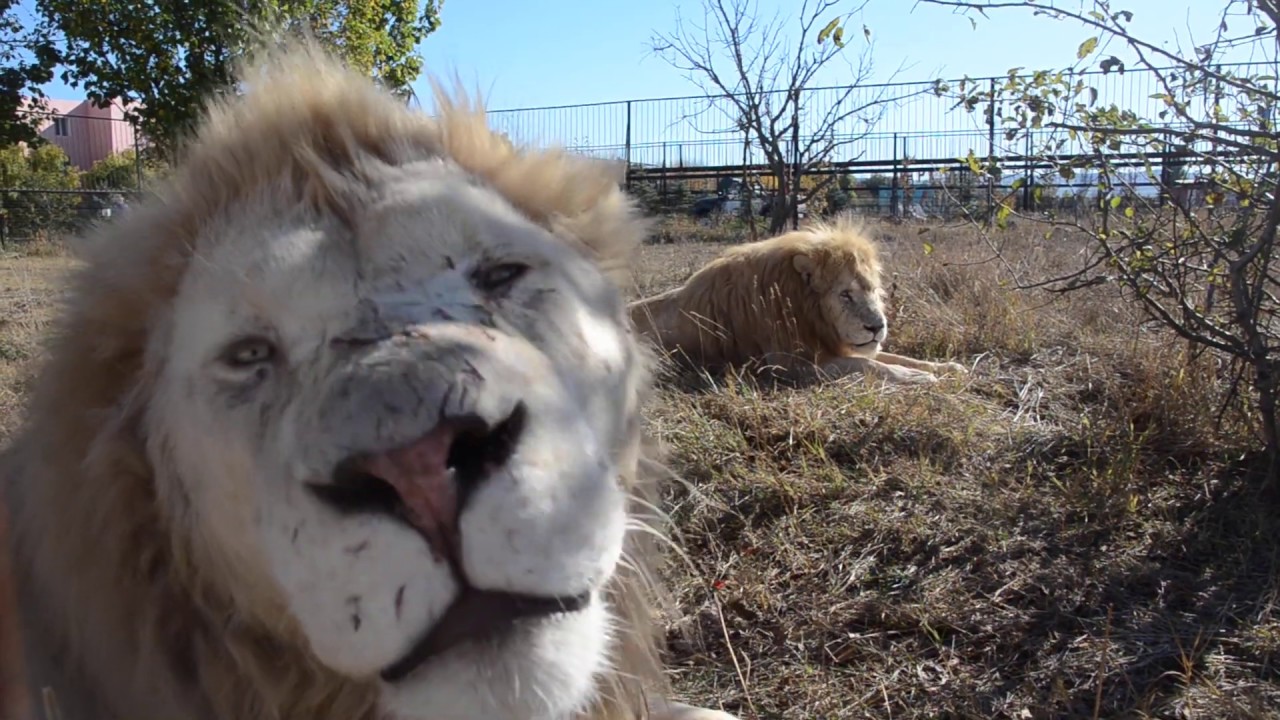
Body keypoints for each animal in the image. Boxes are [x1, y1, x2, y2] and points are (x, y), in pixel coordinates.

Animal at [628, 218, 968, 385]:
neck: (807, 310)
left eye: (872, 290)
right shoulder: (787, 364)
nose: (876, 328)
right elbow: (867, 365)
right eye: (845, 294)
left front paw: (948, 368)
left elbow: (896, 357)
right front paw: (918, 377)